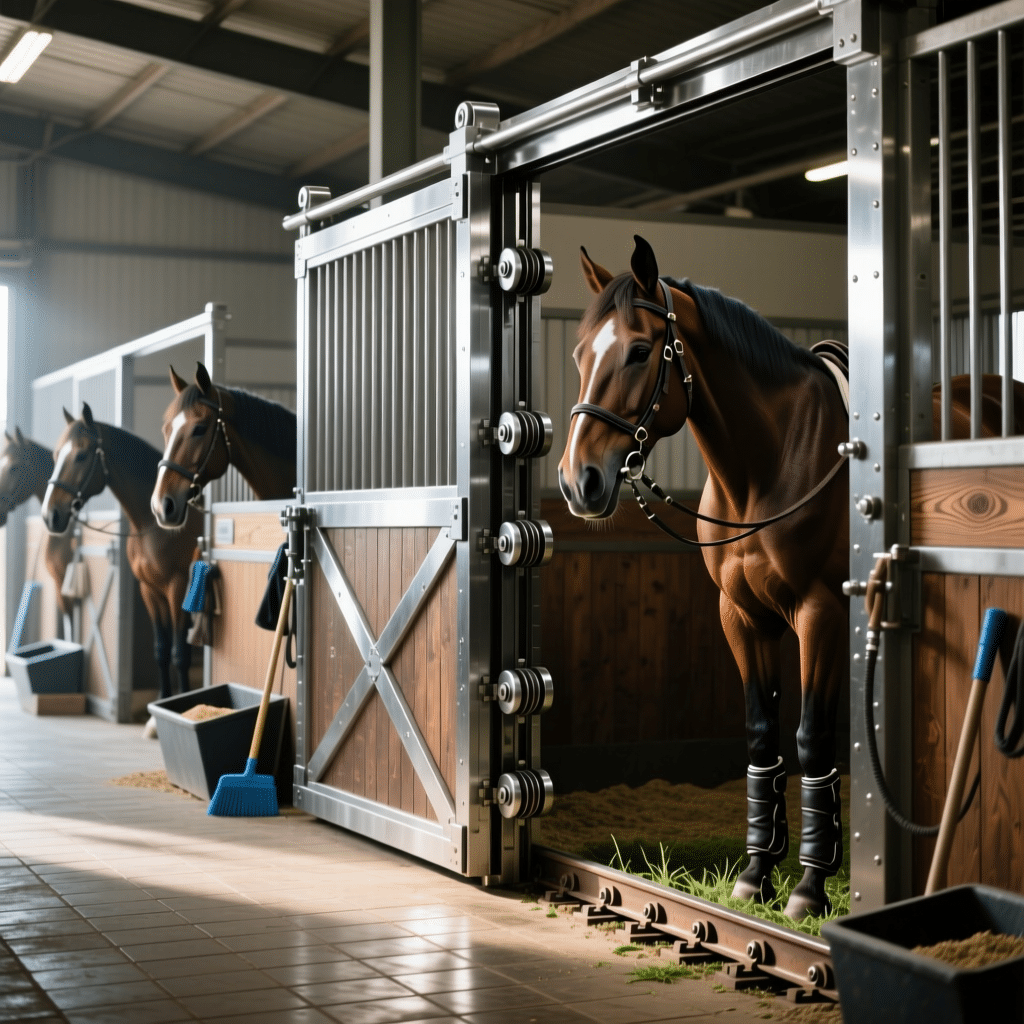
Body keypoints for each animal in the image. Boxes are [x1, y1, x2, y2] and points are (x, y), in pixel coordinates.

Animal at [40, 404, 201, 702]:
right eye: (56, 456)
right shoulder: (150, 590)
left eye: (81, 455)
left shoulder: (178, 588)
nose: (50, 516)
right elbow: (161, 650)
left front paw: (182, 702)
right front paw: (162, 699)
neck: (152, 526)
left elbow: (179, 654)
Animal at [559, 235, 1024, 920]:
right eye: (579, 354)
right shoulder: (740, 617)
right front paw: (755, 874)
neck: (767, 466)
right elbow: (760, 738)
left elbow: (810, 740)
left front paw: (808, 887)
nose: (578, 481)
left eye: (641, 350)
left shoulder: (819, 615)